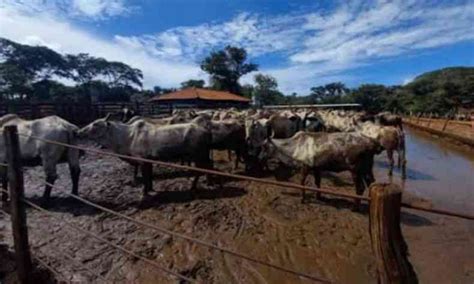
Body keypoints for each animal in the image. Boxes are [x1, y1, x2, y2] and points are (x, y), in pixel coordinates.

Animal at [78, 114, 213, 196]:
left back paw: (195, 186)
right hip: (202, 154)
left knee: (202, 169)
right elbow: (149, 177)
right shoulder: (149, 161)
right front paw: (150, 189)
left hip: (198, 154)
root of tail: (206, 130)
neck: (127, 137)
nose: (79, 131)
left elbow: (145, 177)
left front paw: (144, 192)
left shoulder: (142, 160)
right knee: (208, 166)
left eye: (95, 124)